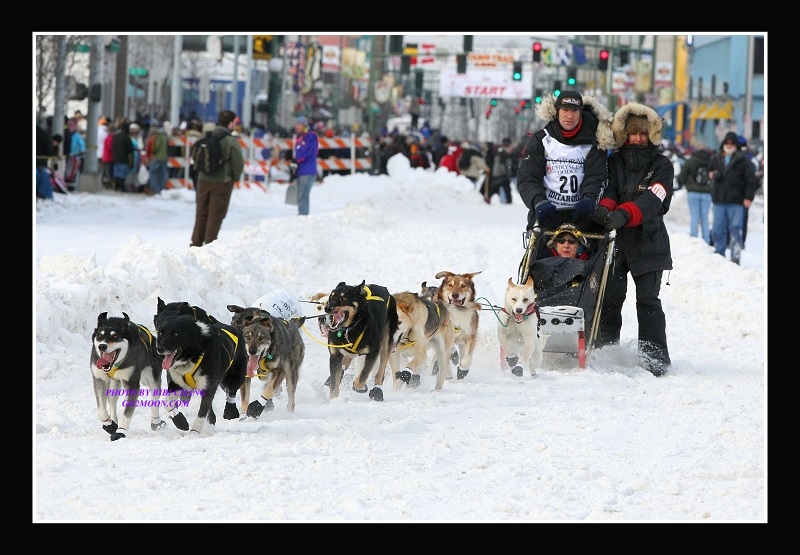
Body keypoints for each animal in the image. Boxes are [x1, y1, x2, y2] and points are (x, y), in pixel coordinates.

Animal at [90, 310, 166, 440]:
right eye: (100, 335)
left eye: (115, 336)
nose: (102, 346)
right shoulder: (99, 379)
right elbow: (101, 410)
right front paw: (109, 424)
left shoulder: (132, 383)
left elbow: (127, 411)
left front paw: (121, 430)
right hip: (114, 384)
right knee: (112, 401)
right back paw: (114, 421)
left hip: (152, 377)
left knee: (154, 398)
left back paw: (156, 422)